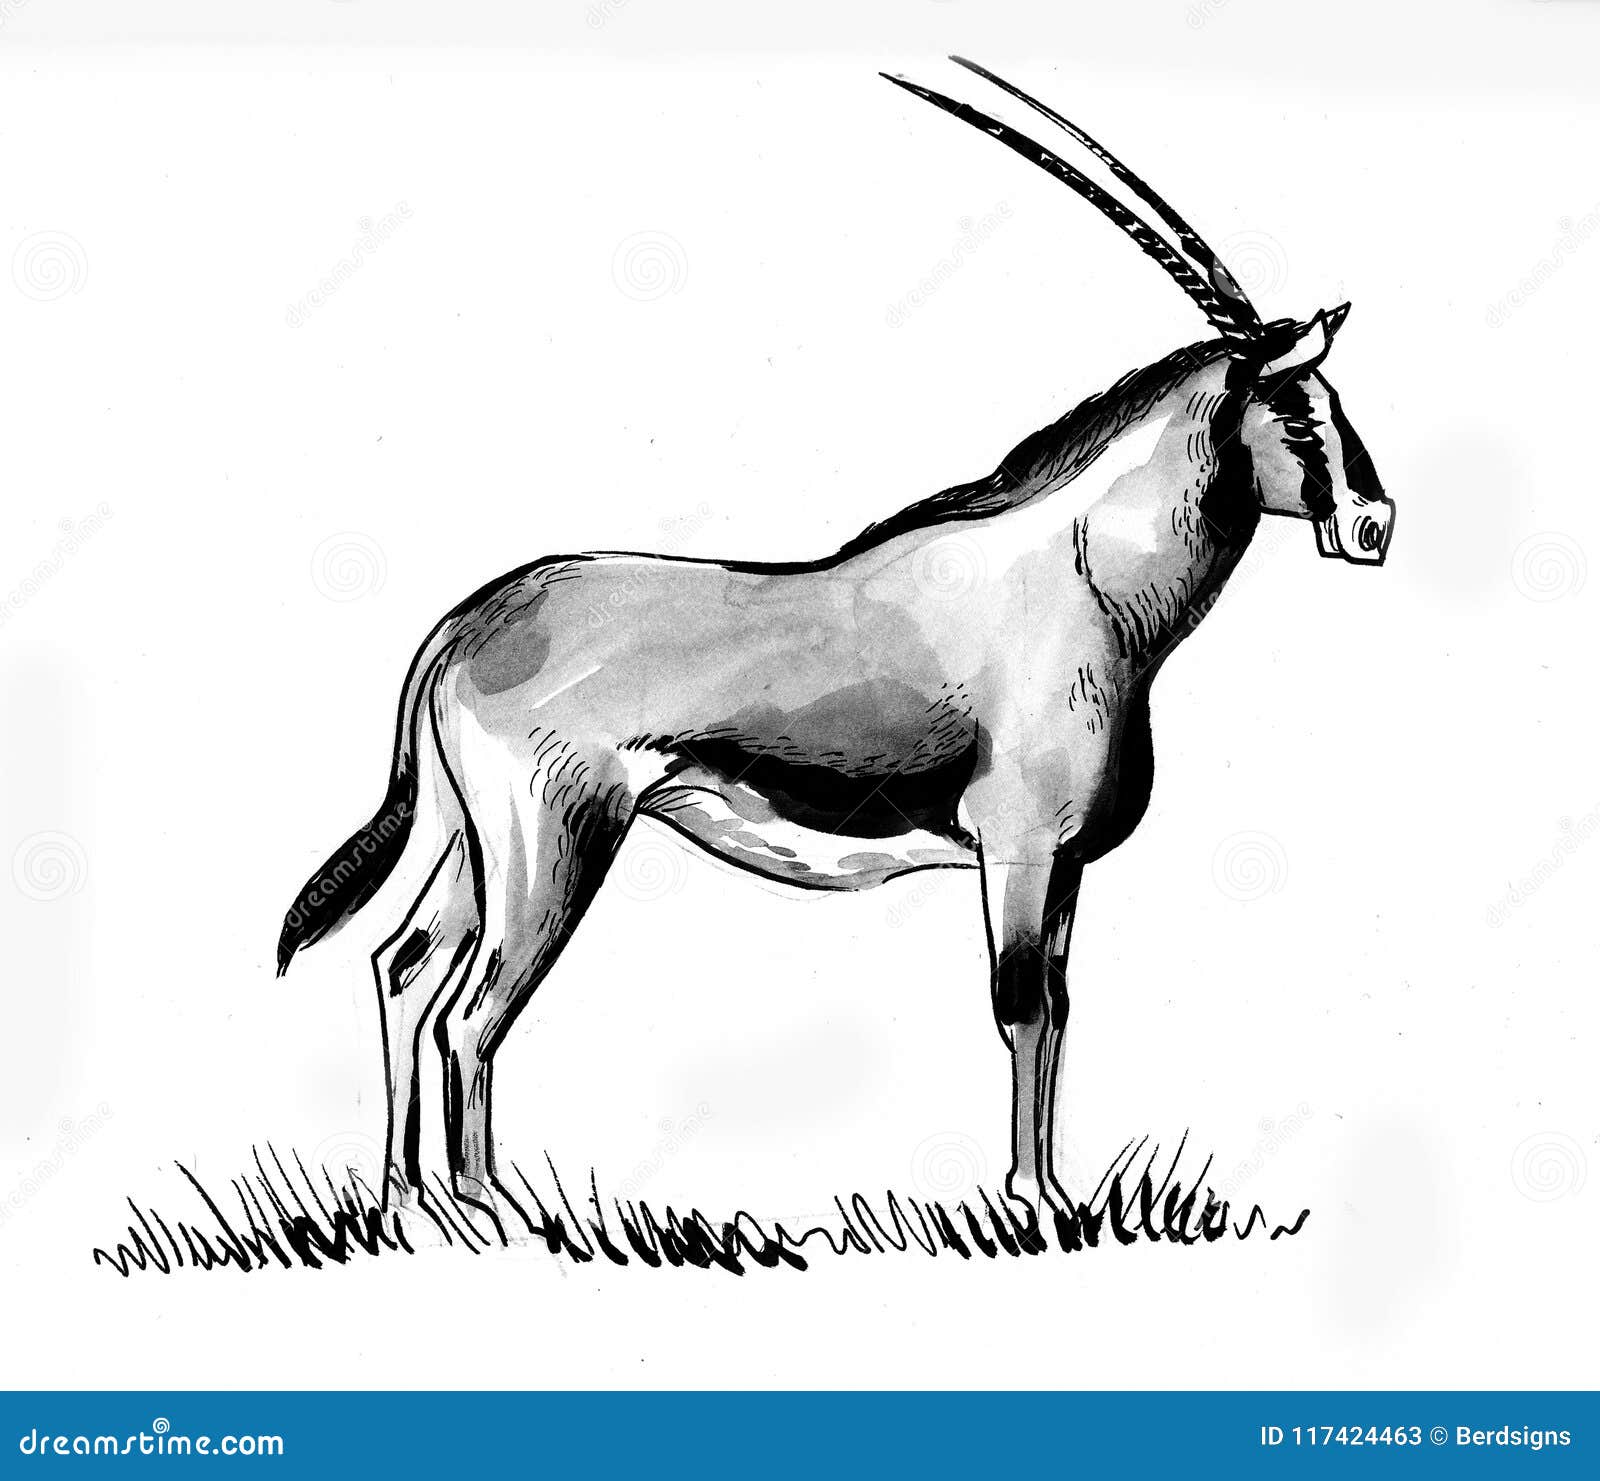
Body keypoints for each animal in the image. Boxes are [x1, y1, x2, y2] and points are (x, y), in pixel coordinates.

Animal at [277, 60, 1394, 1218]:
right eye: (1297, 408)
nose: (1373, 523)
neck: (1084, 576)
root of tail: (463, 626)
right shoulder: (1020, 851)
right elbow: (1021, 1006)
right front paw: (1030, 1200)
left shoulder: (1067, 868)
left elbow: (1059, 1005)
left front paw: (1053, 1189)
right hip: (550, 847)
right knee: (470, 1010)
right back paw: (487, 1203)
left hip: (471, 843)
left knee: (405, 970)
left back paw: (409, 1199)